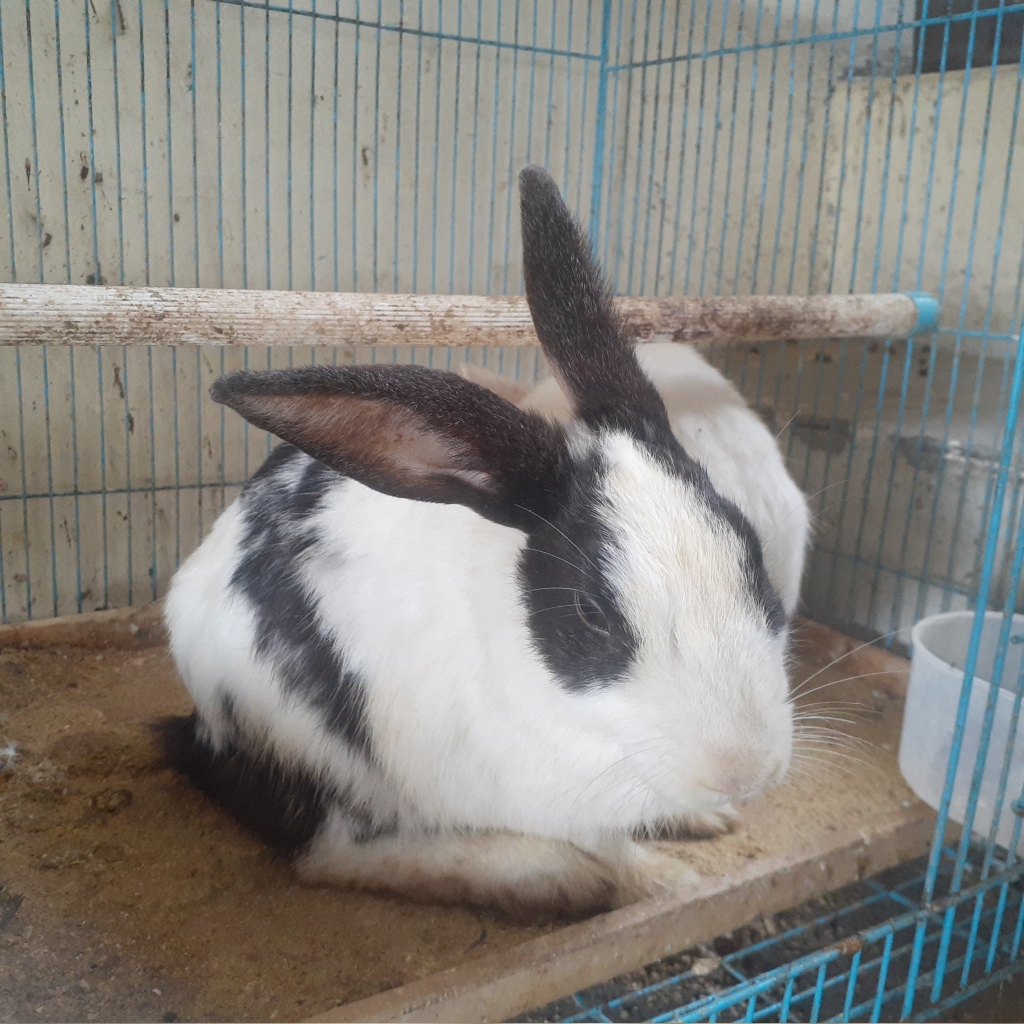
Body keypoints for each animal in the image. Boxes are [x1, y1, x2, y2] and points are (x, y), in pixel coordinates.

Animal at [162, 166, 809, 916]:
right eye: (591, 612)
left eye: (751, 553)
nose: (744, 770)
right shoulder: (549, 797)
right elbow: (613, 848)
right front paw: (664, 883)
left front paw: (702, 822)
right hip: (331, 765)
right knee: (333, 855)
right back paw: (550, 876)